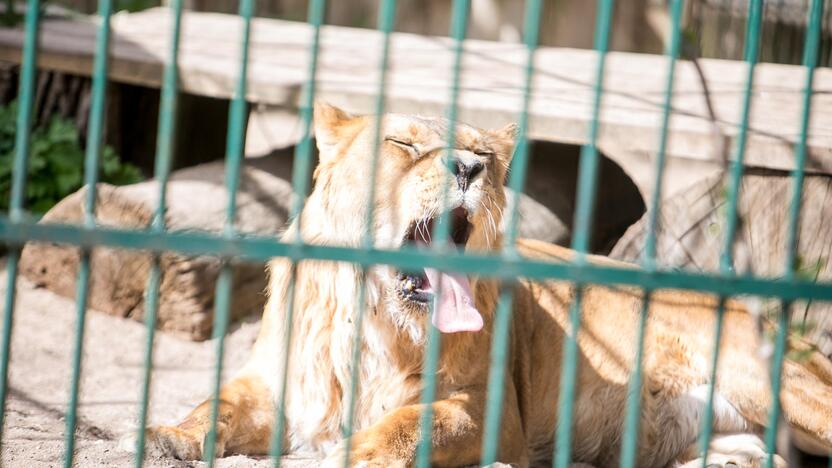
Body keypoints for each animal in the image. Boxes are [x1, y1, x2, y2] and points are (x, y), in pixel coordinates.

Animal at [136, 104, 832, 466]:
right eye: (403, 141)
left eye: (486, 154)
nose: (469, 167)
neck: (375, 319)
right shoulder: (277, 382)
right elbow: (215, 405)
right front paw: (165, 437)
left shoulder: (491, 411)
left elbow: (414, 424)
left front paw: (343, 453)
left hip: (772, 382)